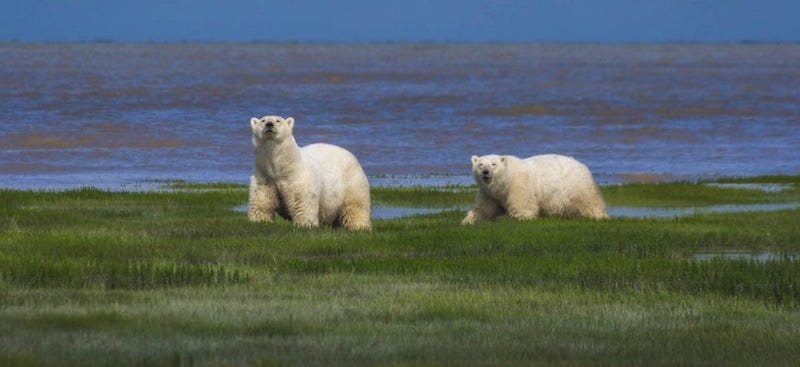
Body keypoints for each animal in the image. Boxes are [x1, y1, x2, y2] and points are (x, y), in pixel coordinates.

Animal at [462, 152, 608, 224]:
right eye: (481, 164)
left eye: (493, 164)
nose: (485, 172)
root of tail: (583, 166)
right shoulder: (488, 194)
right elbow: (484, 209)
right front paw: (468, 221)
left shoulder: (518, 186)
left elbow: (523, 206)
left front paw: (522, 218)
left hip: (576, 187)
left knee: (588, 203)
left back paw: (598, 216)